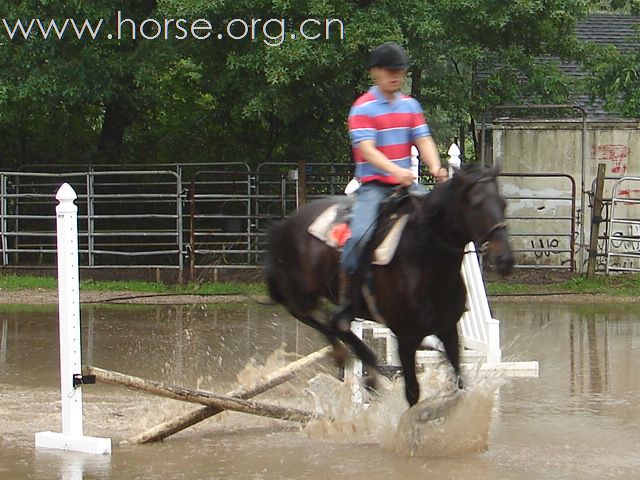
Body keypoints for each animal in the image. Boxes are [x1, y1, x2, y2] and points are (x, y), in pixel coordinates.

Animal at [264, 164, 516, 404]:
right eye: (476, 204)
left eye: (503, 204)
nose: (505, 259)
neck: (425, 259)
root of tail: (284, 224)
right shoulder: (406, 337)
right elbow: (413, 392)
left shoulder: (448, 330)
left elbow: (459, 383)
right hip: (301, 294)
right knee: (310, 316)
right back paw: (347, 357)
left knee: (333, 322)